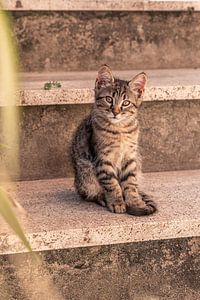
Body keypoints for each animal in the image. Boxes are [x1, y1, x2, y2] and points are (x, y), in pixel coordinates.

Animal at [71, 65, 157, 216]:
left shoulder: (130, 157)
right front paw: (117, 202)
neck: (119, 130)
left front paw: (135, 201)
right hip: (85, 172)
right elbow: (112, 183)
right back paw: (102, 198)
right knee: (90, 193)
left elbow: (130, 182)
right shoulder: (103, 159)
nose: (115, 112)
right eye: (109, 99)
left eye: (126, 102)